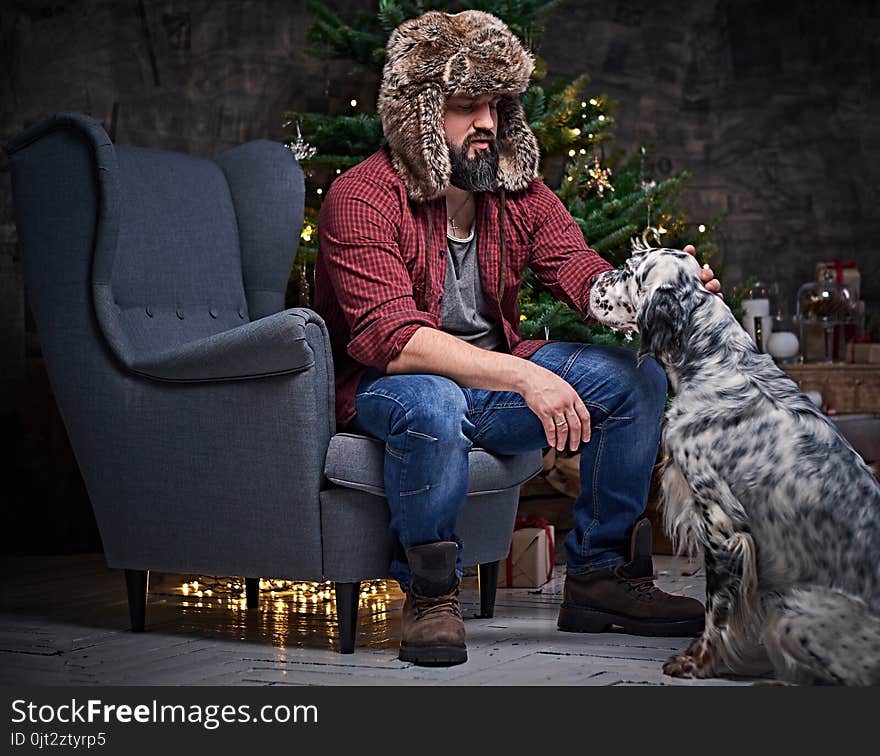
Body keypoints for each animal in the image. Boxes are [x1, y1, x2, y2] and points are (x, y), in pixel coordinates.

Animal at [588, 248, 880, 684]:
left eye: (628, 271)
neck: (716, 363)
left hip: (791, 612)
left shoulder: (721, 525)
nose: (592, 280)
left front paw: (695, 662)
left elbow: (716, 609)